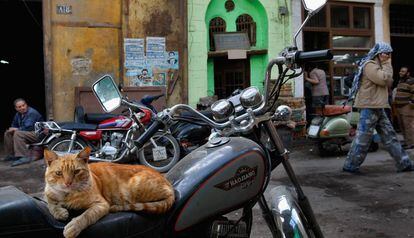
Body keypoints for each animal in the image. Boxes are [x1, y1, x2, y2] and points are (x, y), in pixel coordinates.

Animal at [43, 147, 175, 238]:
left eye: (76, 172)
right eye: (59, 173)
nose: (68, 183)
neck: (67, 196)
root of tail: (169, 183)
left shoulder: (101, 204)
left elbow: (86, 215)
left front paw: (74, 226)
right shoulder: (48, 193)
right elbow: (51, 204)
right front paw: (59, 212)